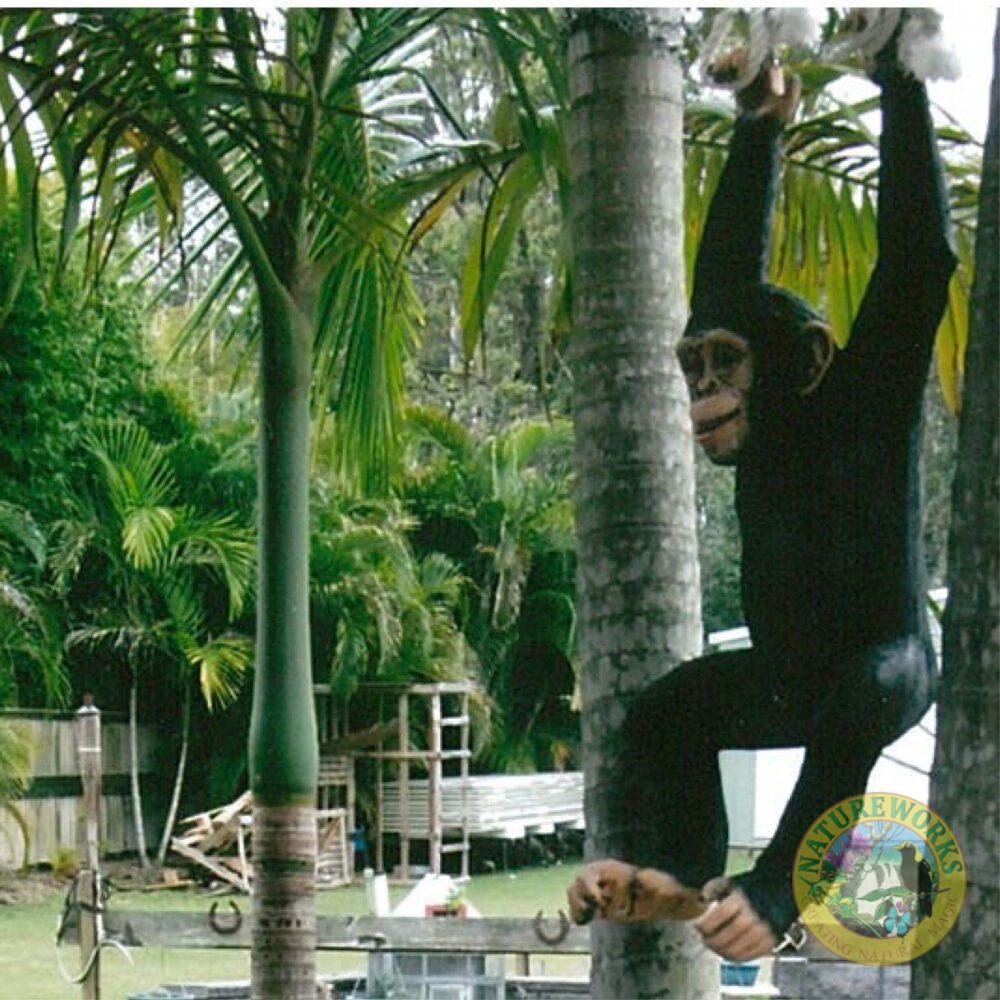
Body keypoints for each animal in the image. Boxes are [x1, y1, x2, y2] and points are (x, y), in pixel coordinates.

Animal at [568, 17, 956, 962]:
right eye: (694, 359)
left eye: (727, 358)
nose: (704, 387)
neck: (792, 425)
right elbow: (722, 258)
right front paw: (765, 100)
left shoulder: (881, 364)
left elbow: (917, 257)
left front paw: (892, 50)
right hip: (769, 697)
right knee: (676, 705)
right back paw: (665, 879)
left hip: (904, 686)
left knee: (867, 698)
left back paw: (765, 893)